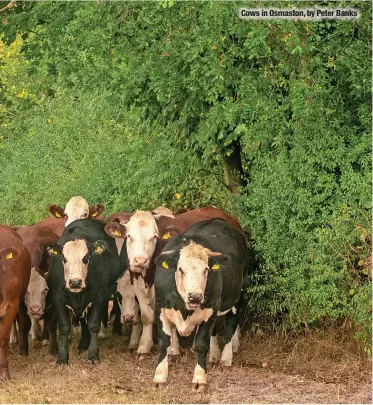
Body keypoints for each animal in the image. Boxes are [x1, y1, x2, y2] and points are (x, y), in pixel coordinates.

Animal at [46, 218, 120, 362]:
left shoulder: (99, 297)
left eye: (86, 258)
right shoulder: (57, 298)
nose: (75, 282)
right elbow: (64, 327)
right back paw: (83, 343)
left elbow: (93, 324)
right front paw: (62, 357)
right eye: (63, 258)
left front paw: (93, 355)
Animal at [104, 207, 243, 352]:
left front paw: (173, 347)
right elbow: (146, 315)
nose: (140, 260)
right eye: (129, 236)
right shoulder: (136, 282)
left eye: (154, 237)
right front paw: (144, 345)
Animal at [151, 219, 250, 390]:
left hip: (237, 298)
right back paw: (215, 355)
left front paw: (199, 378)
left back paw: (226, 358)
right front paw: (160, 375)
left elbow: (202, 343)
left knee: (230, 327)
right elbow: (164, 342)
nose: (195, 297)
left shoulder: (210, 309)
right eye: (180, 269)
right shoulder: (160, 307)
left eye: (206, 269)